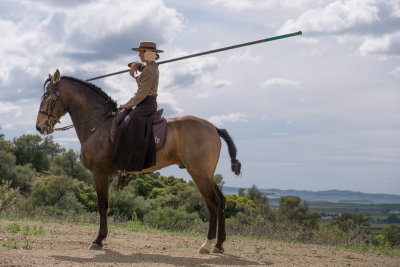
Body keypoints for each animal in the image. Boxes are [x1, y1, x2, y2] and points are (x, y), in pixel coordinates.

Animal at [36, 70, 241, 254]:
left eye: (47, 95)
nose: (39, 127)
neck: (99, 124)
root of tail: (213, 127)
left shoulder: (99, 172)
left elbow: (102, 205)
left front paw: (98, 240)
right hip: (207, 174)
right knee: (221, 202)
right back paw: (219, 244)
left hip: (199, 174)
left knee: (213, 202)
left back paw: (208, 244)